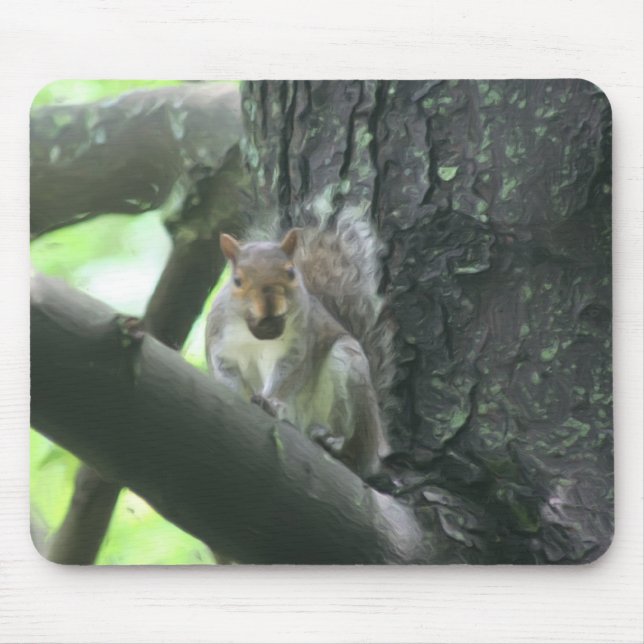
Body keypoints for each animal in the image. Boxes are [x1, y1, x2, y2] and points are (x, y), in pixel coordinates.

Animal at [205, 221, 394, 479]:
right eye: (237, 280)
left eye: (291, 273)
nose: (270, 310)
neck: (257, 334)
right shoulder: (220, 346)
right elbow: (225, 373)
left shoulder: (299, 346)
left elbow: (289, 375)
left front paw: (270, 402)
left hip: (349, 367)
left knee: (358, 450)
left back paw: (339, 445)